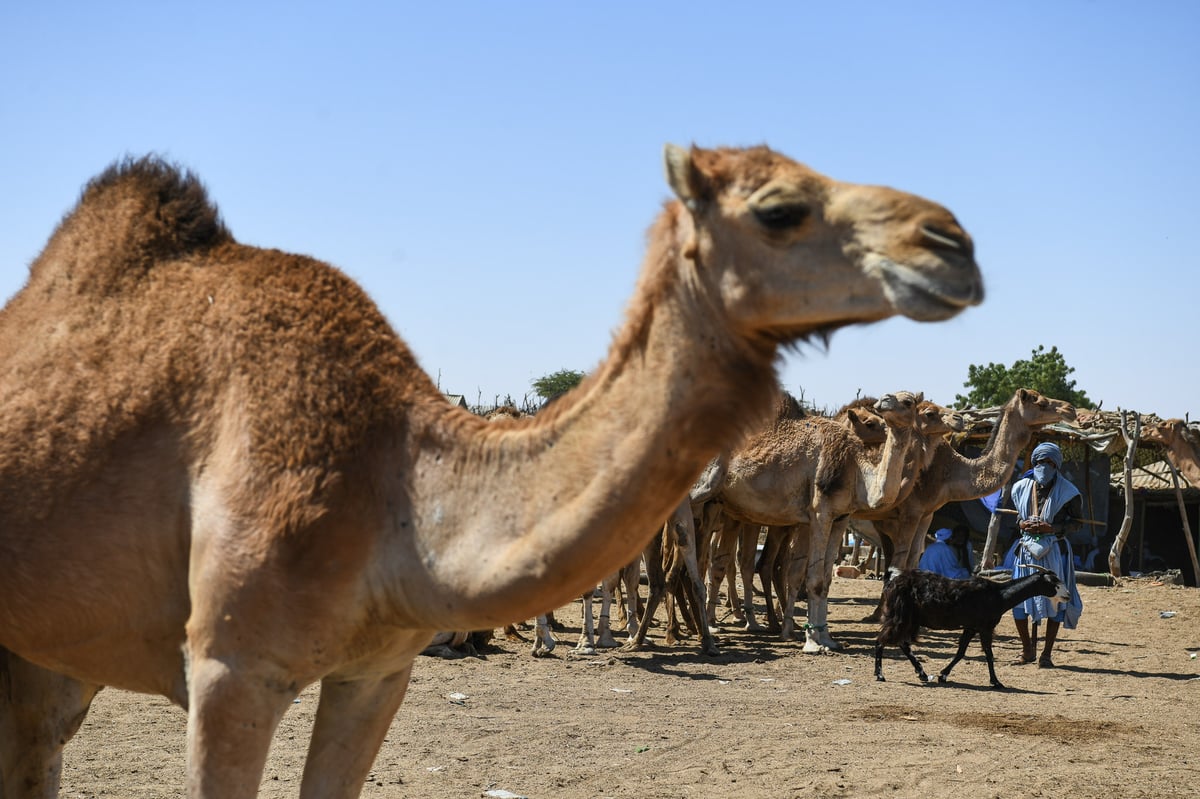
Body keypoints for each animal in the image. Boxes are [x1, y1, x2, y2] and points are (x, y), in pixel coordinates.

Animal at [0, 144, 984, 796]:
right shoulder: (228, 668)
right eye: (780, 208)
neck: (398, 485)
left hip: (53, 645)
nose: (952, 241)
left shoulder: (376, 670)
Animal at [873, 563, 1070, 686]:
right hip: (901, 616)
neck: (998, 594)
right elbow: (989, 654)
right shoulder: (985, 628)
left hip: (910, 620)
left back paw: (922, 674)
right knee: (881, 640)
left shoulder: (970, 627)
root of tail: (892, 581)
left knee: (902, 643)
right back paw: (880, 675)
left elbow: (961, 652)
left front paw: (943, 675)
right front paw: (996, 682)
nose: (1067, 595)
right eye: (1053, 582)